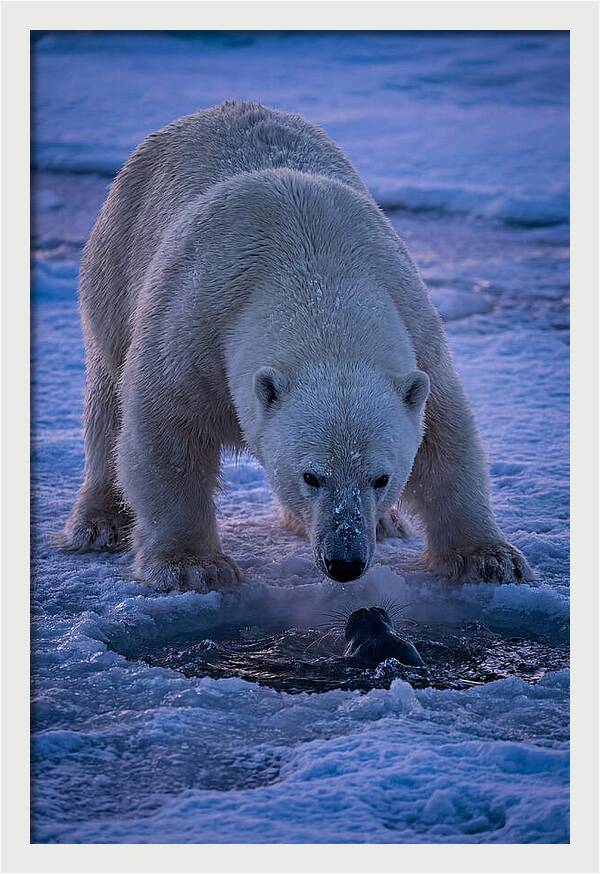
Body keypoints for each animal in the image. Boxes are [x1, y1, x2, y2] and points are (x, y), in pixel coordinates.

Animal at [60, 100, 533, 590]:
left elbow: (445, 437)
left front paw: (490, 558)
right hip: (116, 263)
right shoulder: (193, 327)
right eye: (312, 476)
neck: (316, 271)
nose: (345, 562)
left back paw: (386, 523)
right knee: (108, 398)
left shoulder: (417, 330)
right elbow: (166, 434)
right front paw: (193, 566)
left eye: (381, 477)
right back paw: (99, 522)